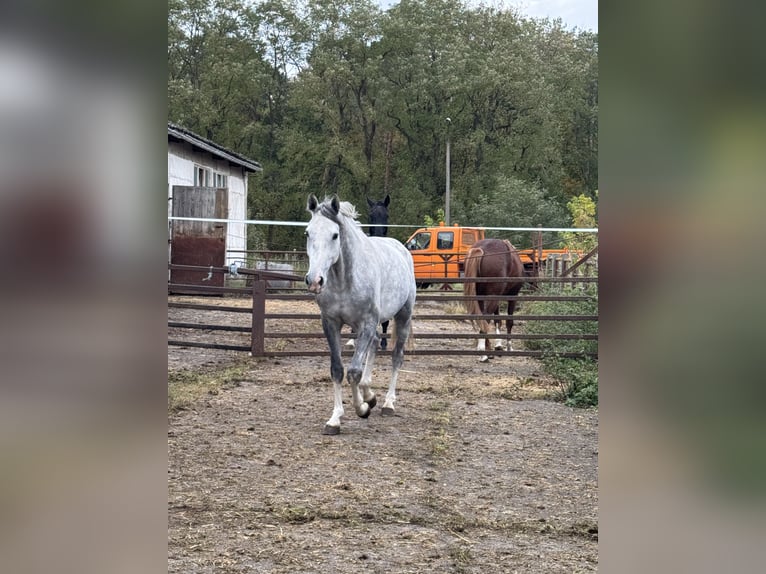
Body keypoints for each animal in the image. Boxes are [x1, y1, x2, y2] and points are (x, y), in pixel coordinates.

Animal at [305, 194, 416, 435]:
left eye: (335, 235)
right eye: (308, 233)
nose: (315, 280)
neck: (344, 278)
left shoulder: (367, 322)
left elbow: (354, 371)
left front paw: (362, 409)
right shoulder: (331, 323)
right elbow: (337, 369)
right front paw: (335, 419)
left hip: (403, 317)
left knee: (396, 356)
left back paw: (387, 403)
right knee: (374, 343)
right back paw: (369, 394)